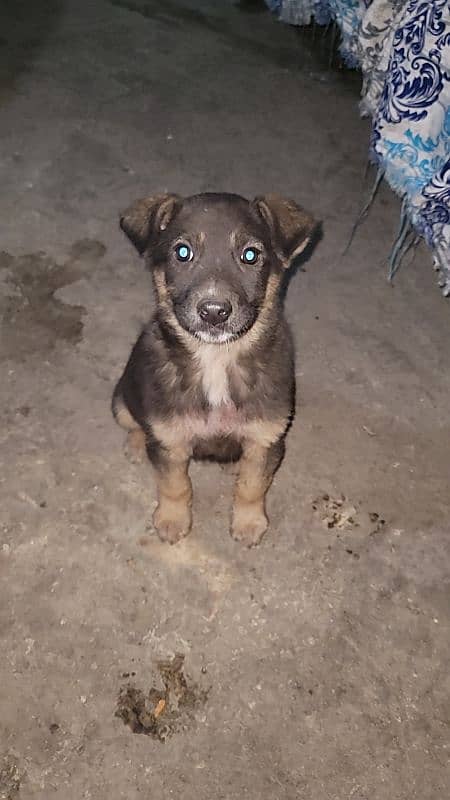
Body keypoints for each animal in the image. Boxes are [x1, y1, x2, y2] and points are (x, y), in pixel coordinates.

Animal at [112, 191, 316, 548]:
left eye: (250, 255)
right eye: (183, 252)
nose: (214, 311)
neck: (217, 358)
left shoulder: (266, 438)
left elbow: (252, 486)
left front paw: (249, 523)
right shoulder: (170, 439)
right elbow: (175, 485)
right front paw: (172, 520)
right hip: (121, 401)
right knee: (135, 423)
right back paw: (137, 445)